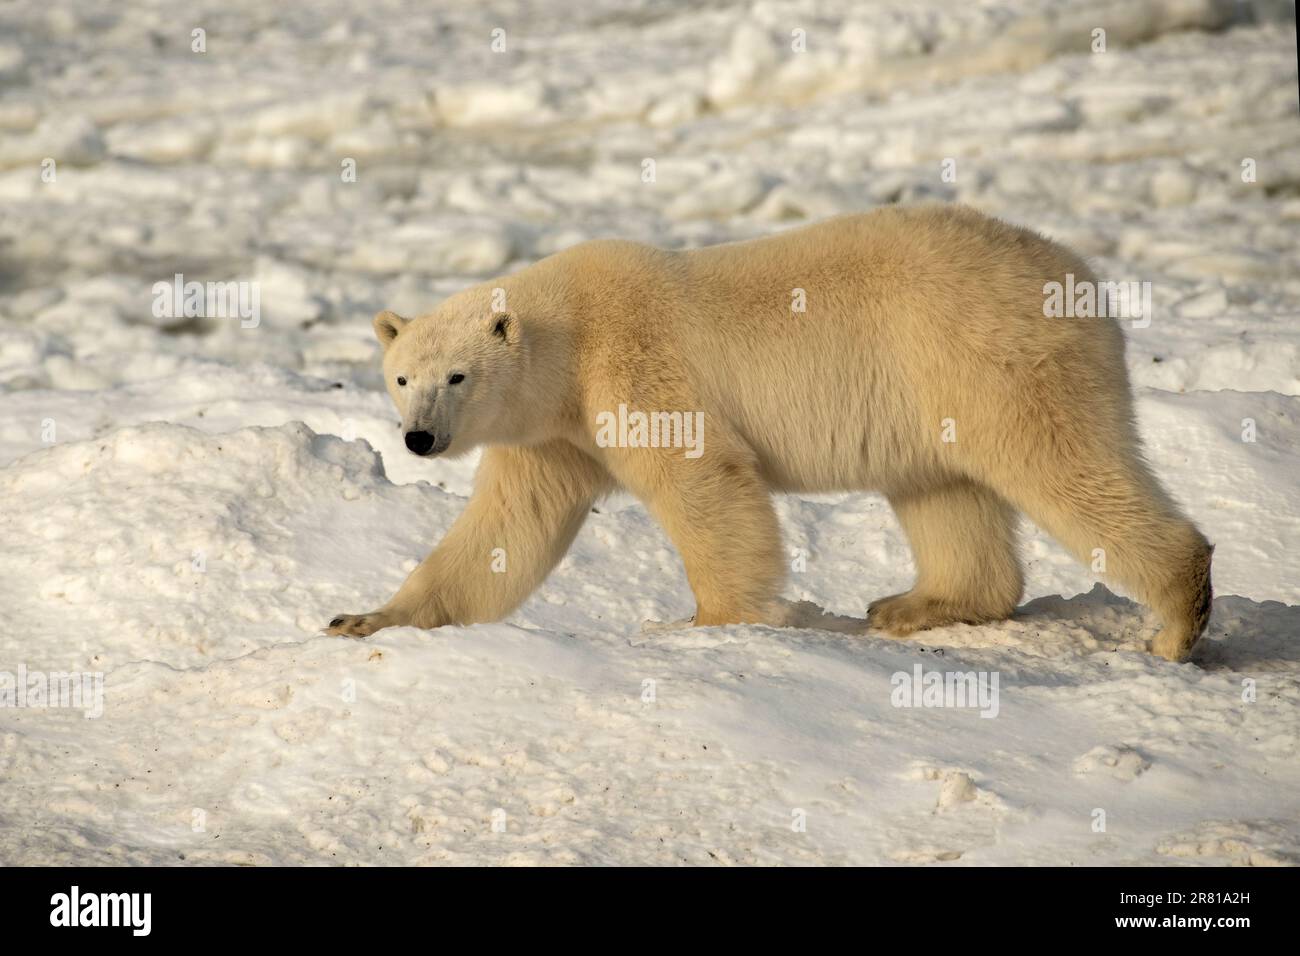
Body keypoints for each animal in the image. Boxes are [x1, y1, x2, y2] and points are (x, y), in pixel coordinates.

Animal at [326, 204, 1213, 662]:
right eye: (401, 376)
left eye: (457, 376)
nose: (418, 440)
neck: (569, 339)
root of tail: (1081, 282)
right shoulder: (552, 434)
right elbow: (505, 532)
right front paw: (364, 619)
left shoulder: (633, 366)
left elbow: (701, 478)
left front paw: (708, 622)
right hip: (930, 390)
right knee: (943, 491)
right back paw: (913, 604)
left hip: (986, 353)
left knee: (1061, 462)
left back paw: (1176, 620)